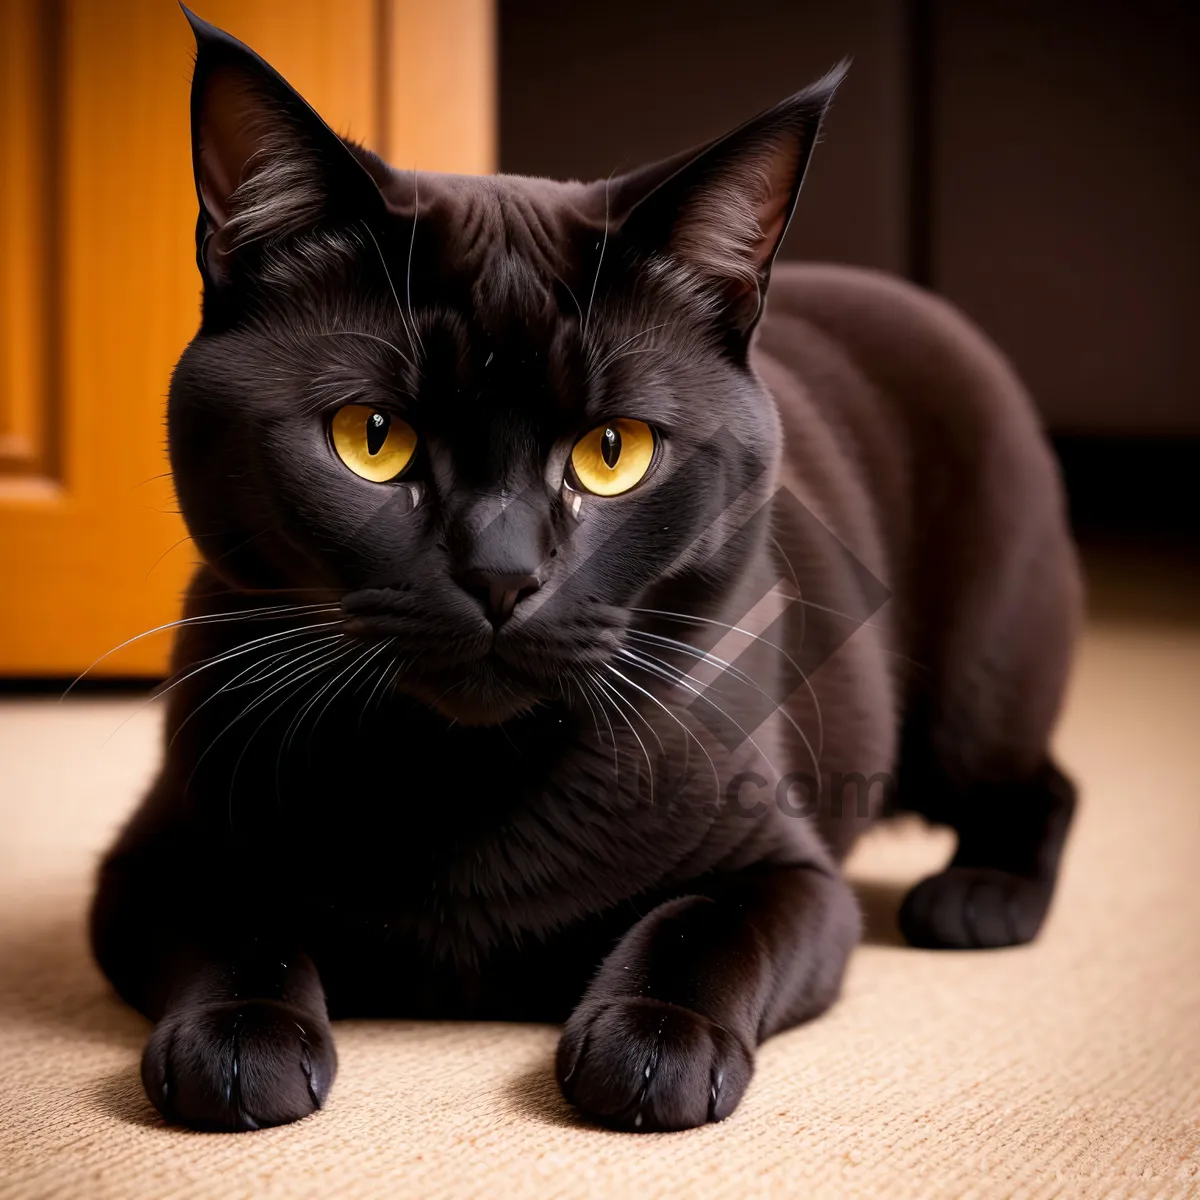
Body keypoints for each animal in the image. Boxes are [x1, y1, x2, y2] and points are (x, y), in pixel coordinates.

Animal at [88, 11, 1084, 1132]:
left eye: (614, 452)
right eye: (371, 438)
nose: (502, 574)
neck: (464, 783)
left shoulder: (789, 872)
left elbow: (703, 925)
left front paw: (653, 1047)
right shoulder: (154, 851)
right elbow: (235, 920)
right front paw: (239, 1042)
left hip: (974, 686)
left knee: (1042, 782)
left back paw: (977, 900)